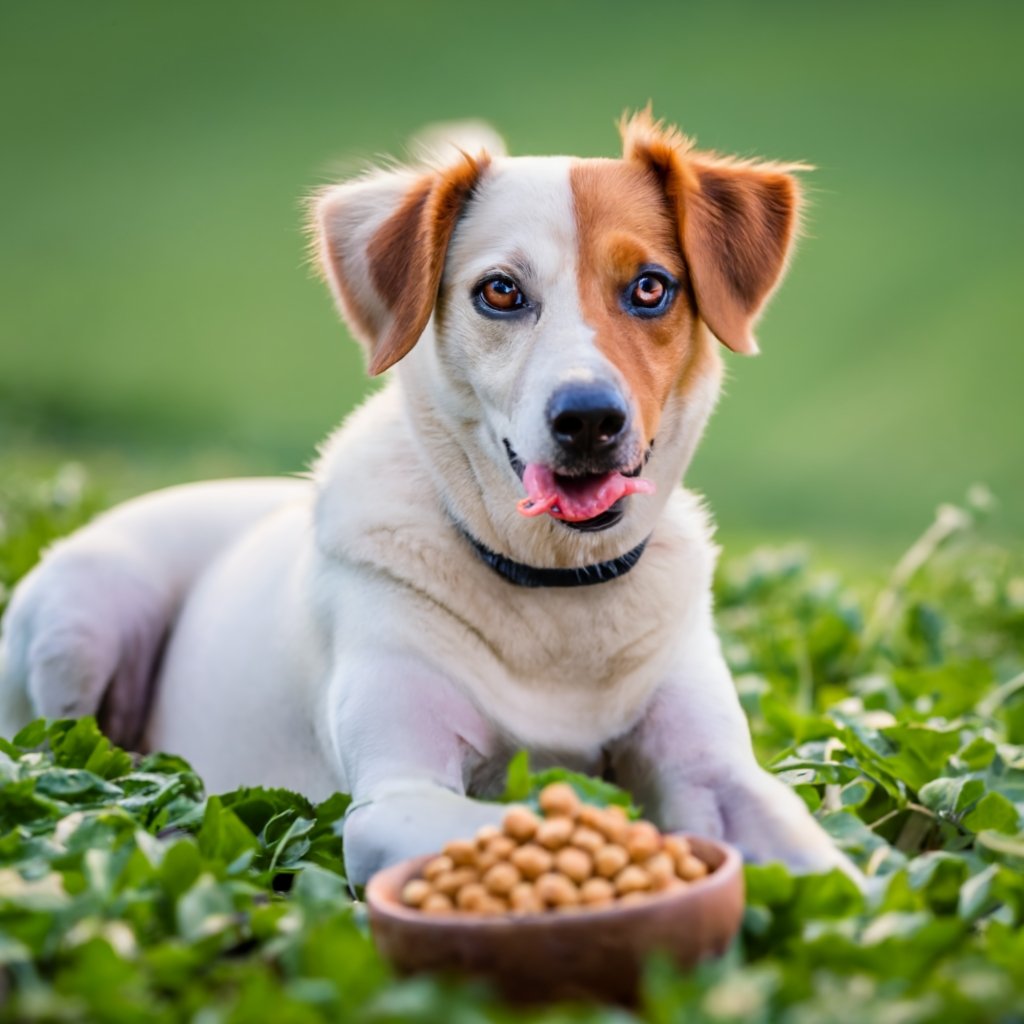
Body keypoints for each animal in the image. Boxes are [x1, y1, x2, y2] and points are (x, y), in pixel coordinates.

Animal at [0, 108, 851, 884]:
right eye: (500, 292)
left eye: (651, 287)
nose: (588, 419)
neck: (558, 590)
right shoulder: (397, 793)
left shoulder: (718, 772)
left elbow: (832, 871)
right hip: (77, 624)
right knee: (72, 771)